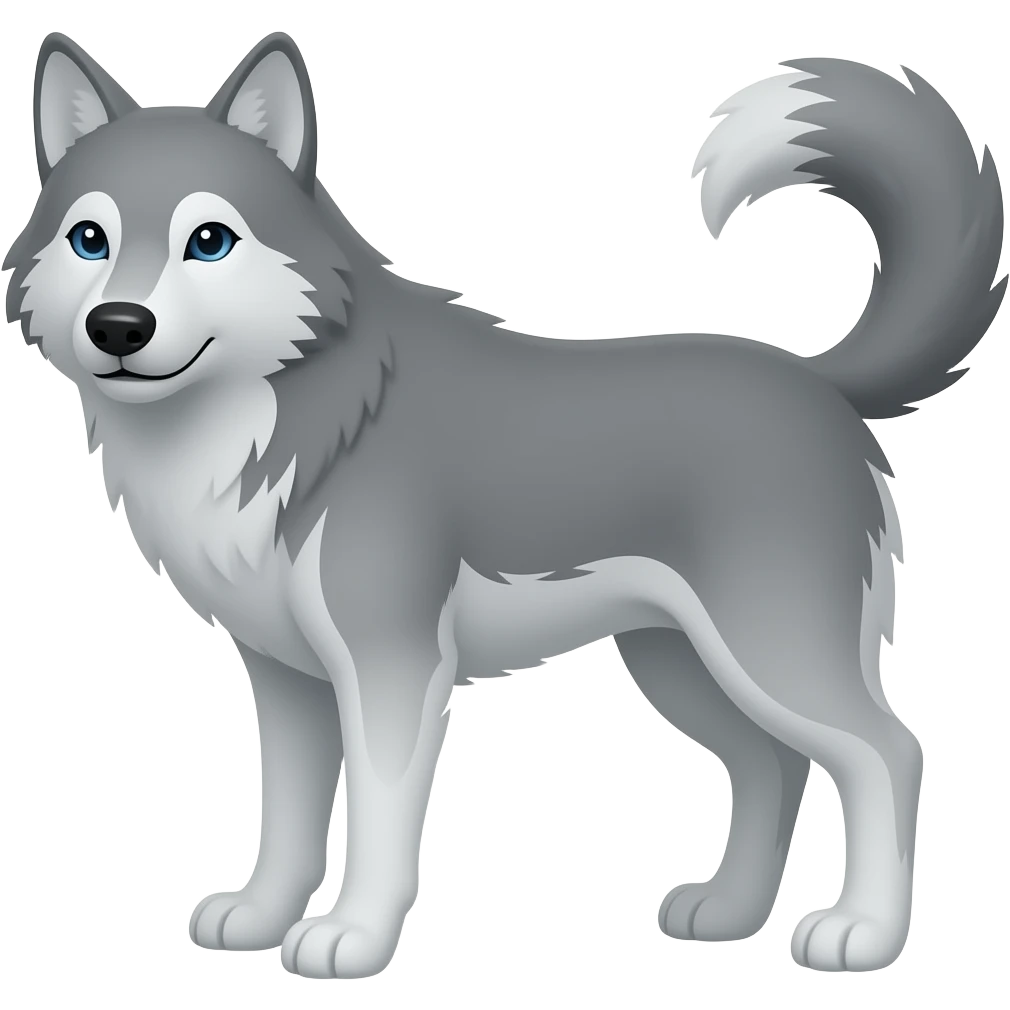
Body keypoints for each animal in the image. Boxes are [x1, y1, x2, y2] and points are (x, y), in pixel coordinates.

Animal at [4, 32, 1005, 978]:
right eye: (89, 239)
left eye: (209, 240)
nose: (118, 327)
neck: (280, 412)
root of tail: (821, 382)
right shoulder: (287, 679)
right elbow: (285, 816)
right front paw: (258, 918)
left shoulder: (394, 666)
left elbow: (377, 820)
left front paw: (352, 939)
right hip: (680, 662)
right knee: (775, 763)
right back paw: (728, 912)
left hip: (769, 650)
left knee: (886, 753)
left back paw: (862, 933)